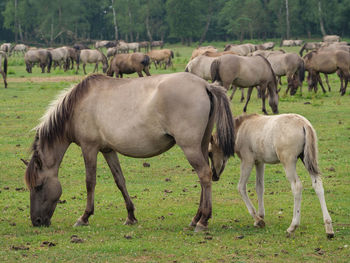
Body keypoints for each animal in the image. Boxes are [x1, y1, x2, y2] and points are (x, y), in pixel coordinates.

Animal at [22, 73, 235, 232]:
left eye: (39, 186)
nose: (36, 222)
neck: (78, 105)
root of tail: (205, 85)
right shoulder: (108, 150)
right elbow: (120, 181)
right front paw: (131, 216)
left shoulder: (89, 148)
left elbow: (90, 182)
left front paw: (84, 217)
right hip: (201, 145)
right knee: (204, 178)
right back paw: (196, 218)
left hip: (190, 147)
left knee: (204, 175)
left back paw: (203, 221)